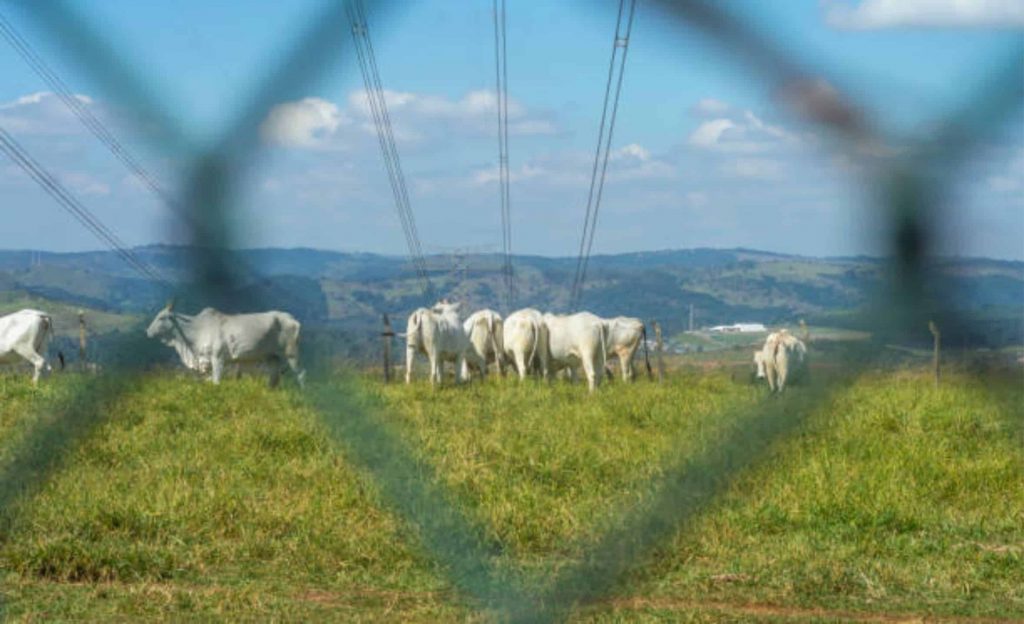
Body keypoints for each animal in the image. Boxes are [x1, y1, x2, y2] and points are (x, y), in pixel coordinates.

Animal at [145, 301, 303, 385]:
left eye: (161, 317)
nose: (147, 331)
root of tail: (292, 318)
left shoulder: (218, 358)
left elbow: (216, 381)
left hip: (292, 353)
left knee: (301, 374)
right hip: (271, 356)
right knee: (274, 377)